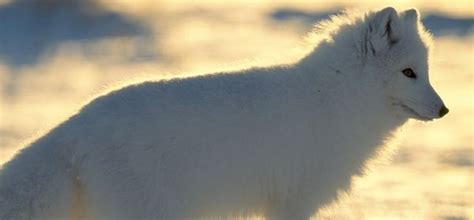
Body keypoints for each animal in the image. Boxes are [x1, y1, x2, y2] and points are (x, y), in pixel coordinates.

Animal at [0, 7, 448, 220]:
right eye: (409, 73)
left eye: (425, 72)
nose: (445, 110)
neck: (336, 98)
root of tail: (76, 123)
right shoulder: (294, 200)